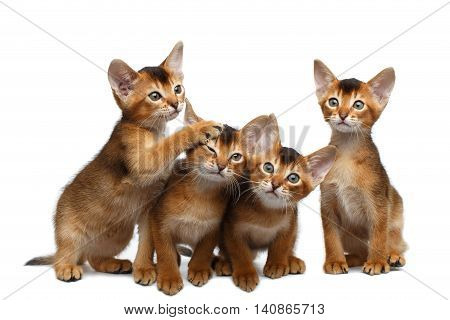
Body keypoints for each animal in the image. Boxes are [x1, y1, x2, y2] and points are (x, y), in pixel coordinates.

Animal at [25, 41, 222, 282]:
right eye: (155, 96)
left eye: (177, 88)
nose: (177, 103)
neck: (151, 131)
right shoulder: (142, 162)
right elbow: (170, 143)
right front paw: (200, 128)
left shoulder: (148, 209)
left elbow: (147, 242)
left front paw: (144, 268)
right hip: (69, 230)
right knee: (64, 252)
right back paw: (67, 268)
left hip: (119, 234)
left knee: (93, 258)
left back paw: (115, 264)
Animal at [140, 104, 274, 296]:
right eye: (210, 149)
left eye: (236, 156)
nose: (221, 166)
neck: (201, 194)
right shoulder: (158, 220)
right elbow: (165, 251)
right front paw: (169, 277)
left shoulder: (214, 227)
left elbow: (203, 250)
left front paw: (198, 269)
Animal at [216, 115, 336, 292]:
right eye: (268, 167)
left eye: (293, 178)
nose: (275, 184)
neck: (267, 212)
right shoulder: (232, 227)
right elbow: (239, 251)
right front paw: (245, 273)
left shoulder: (290, 224)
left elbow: (282, 245)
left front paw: (277, 264)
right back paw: (224, 263)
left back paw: (291, 260)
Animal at [314, 60, 406, 276]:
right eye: (333, 102)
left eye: (358, 104)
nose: (342, 115)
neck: (347, 153)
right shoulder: (327, 204)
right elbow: (330, 237)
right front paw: (335, 261)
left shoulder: (378, 203)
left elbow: (379, 234)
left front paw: (377, 262)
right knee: (360, 252)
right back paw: (350, 259)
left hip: (396, 217)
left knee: (396, 243)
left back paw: (392, 257)